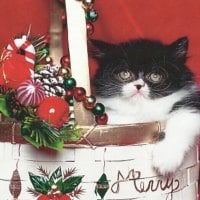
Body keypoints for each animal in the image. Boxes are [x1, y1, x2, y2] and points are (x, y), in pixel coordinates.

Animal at [91, 37, 200, 175]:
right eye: (125, 74)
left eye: (155, 76)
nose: (138, 85)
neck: (143, 108)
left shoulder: (191, 103)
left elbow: (182, 121)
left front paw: (166, 159)